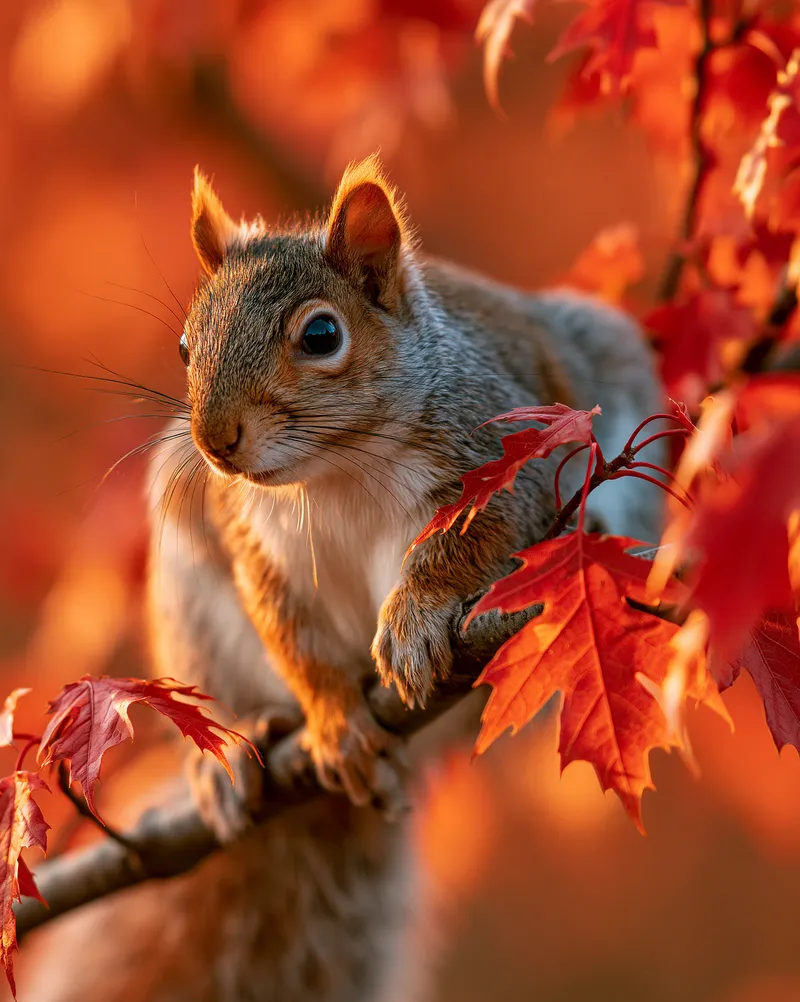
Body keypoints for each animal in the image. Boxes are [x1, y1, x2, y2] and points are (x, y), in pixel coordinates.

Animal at [24, 156, 664, 1002]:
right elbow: (290, 631)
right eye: (186, 345)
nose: (215, 439)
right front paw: (333, 719)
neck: (334, 469)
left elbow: (472, 546)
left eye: (321, 335)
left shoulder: (506, 460)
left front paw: (414, 617)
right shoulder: (254, 537)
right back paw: (230, 756)